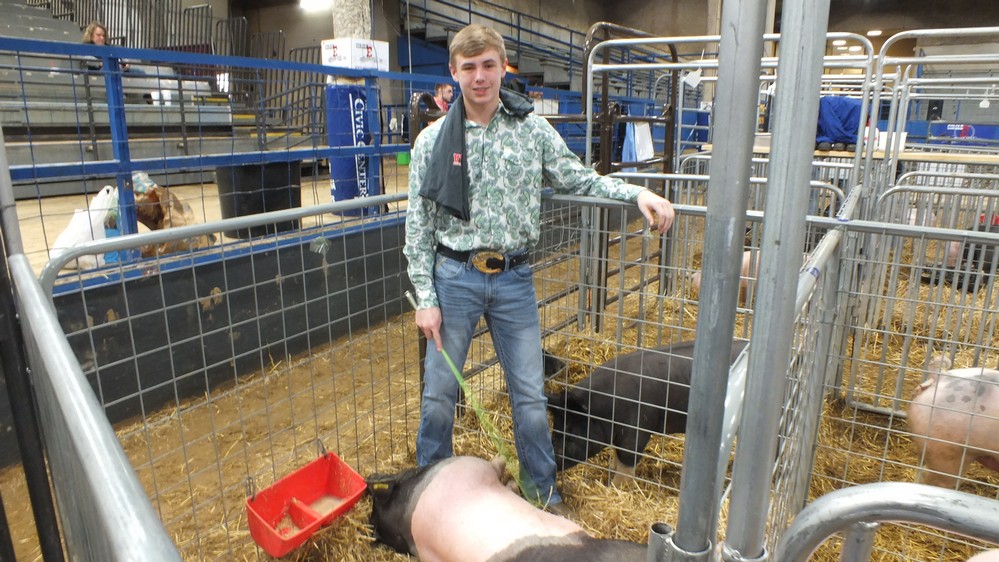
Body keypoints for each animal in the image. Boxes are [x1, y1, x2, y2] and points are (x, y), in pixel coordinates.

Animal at [548, 334, 752, 484]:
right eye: (555, 428)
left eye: (570, 430)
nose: (553, 461)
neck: (606, 411)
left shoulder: (636, 429)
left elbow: (626, 459)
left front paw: (615, 487)